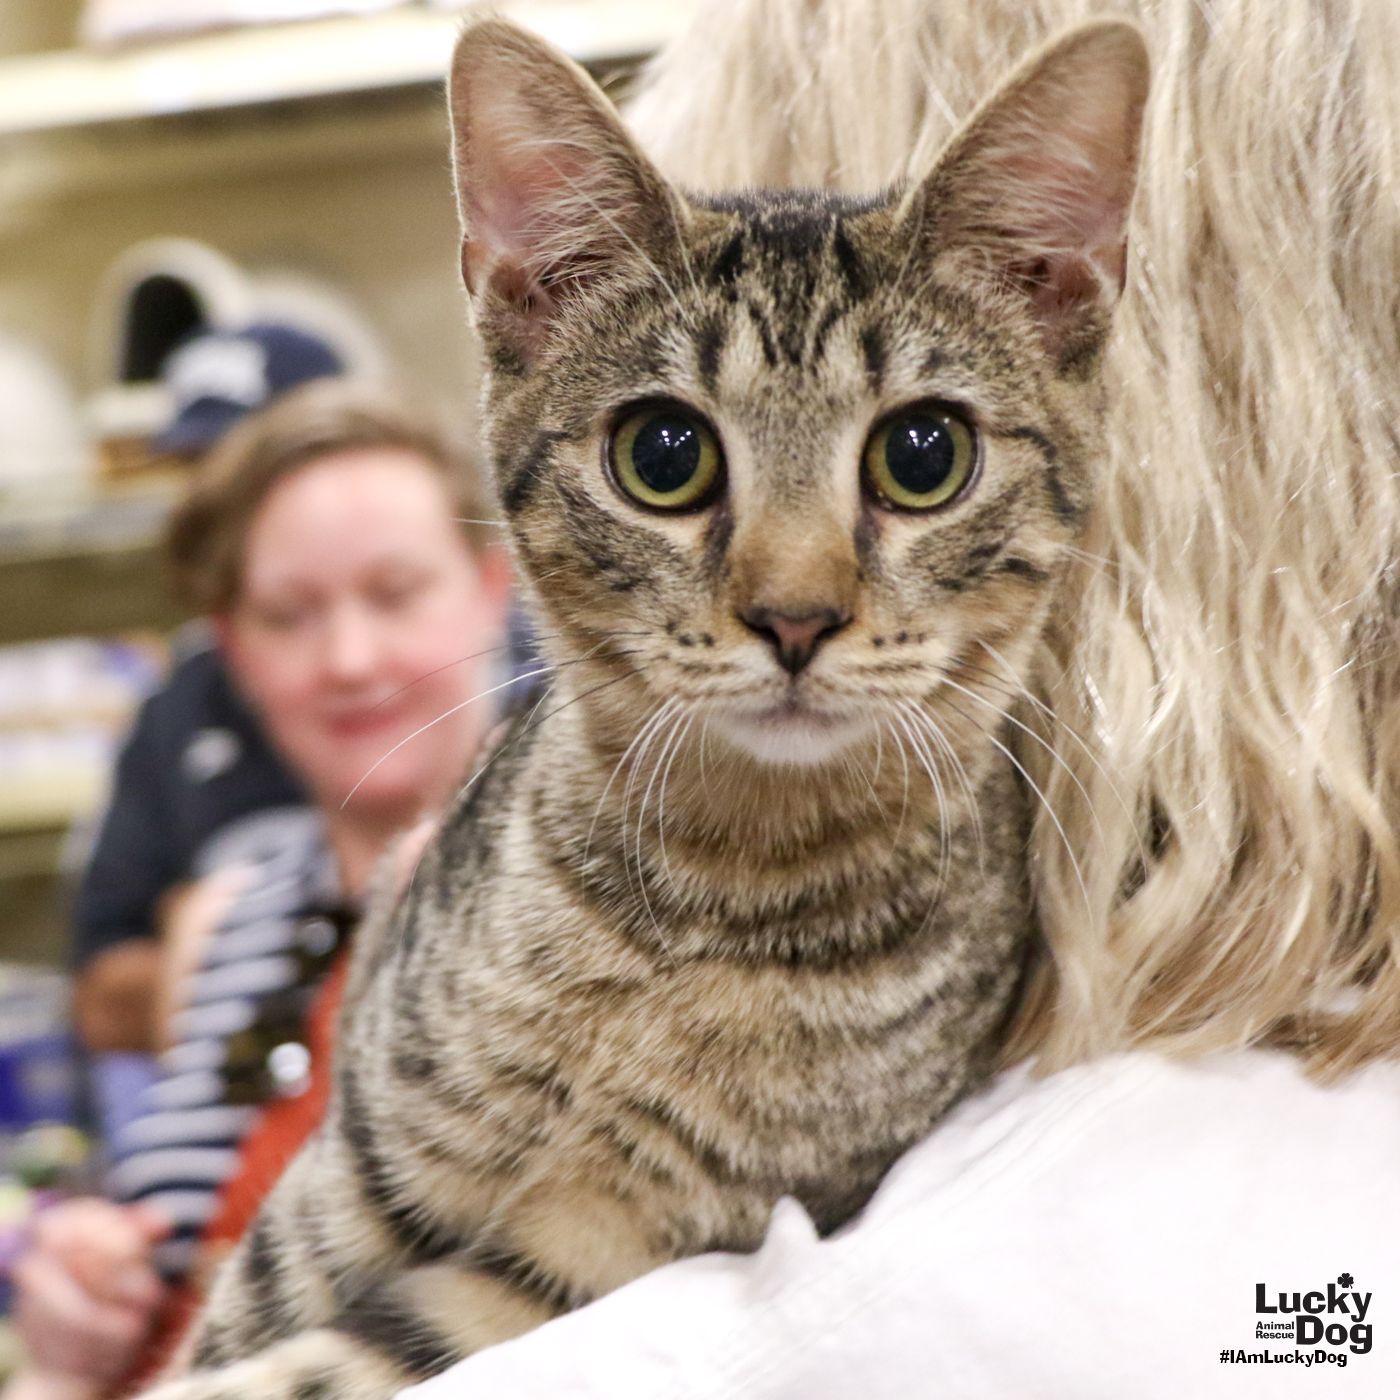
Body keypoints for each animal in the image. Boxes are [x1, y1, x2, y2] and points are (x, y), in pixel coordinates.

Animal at [142, 13, 1148, 1400]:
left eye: (922, 454)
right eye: (662, 455)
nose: (794, 616)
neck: (696, 906)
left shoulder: (593, 1254)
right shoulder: (348, 1180)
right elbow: (234, 1345)